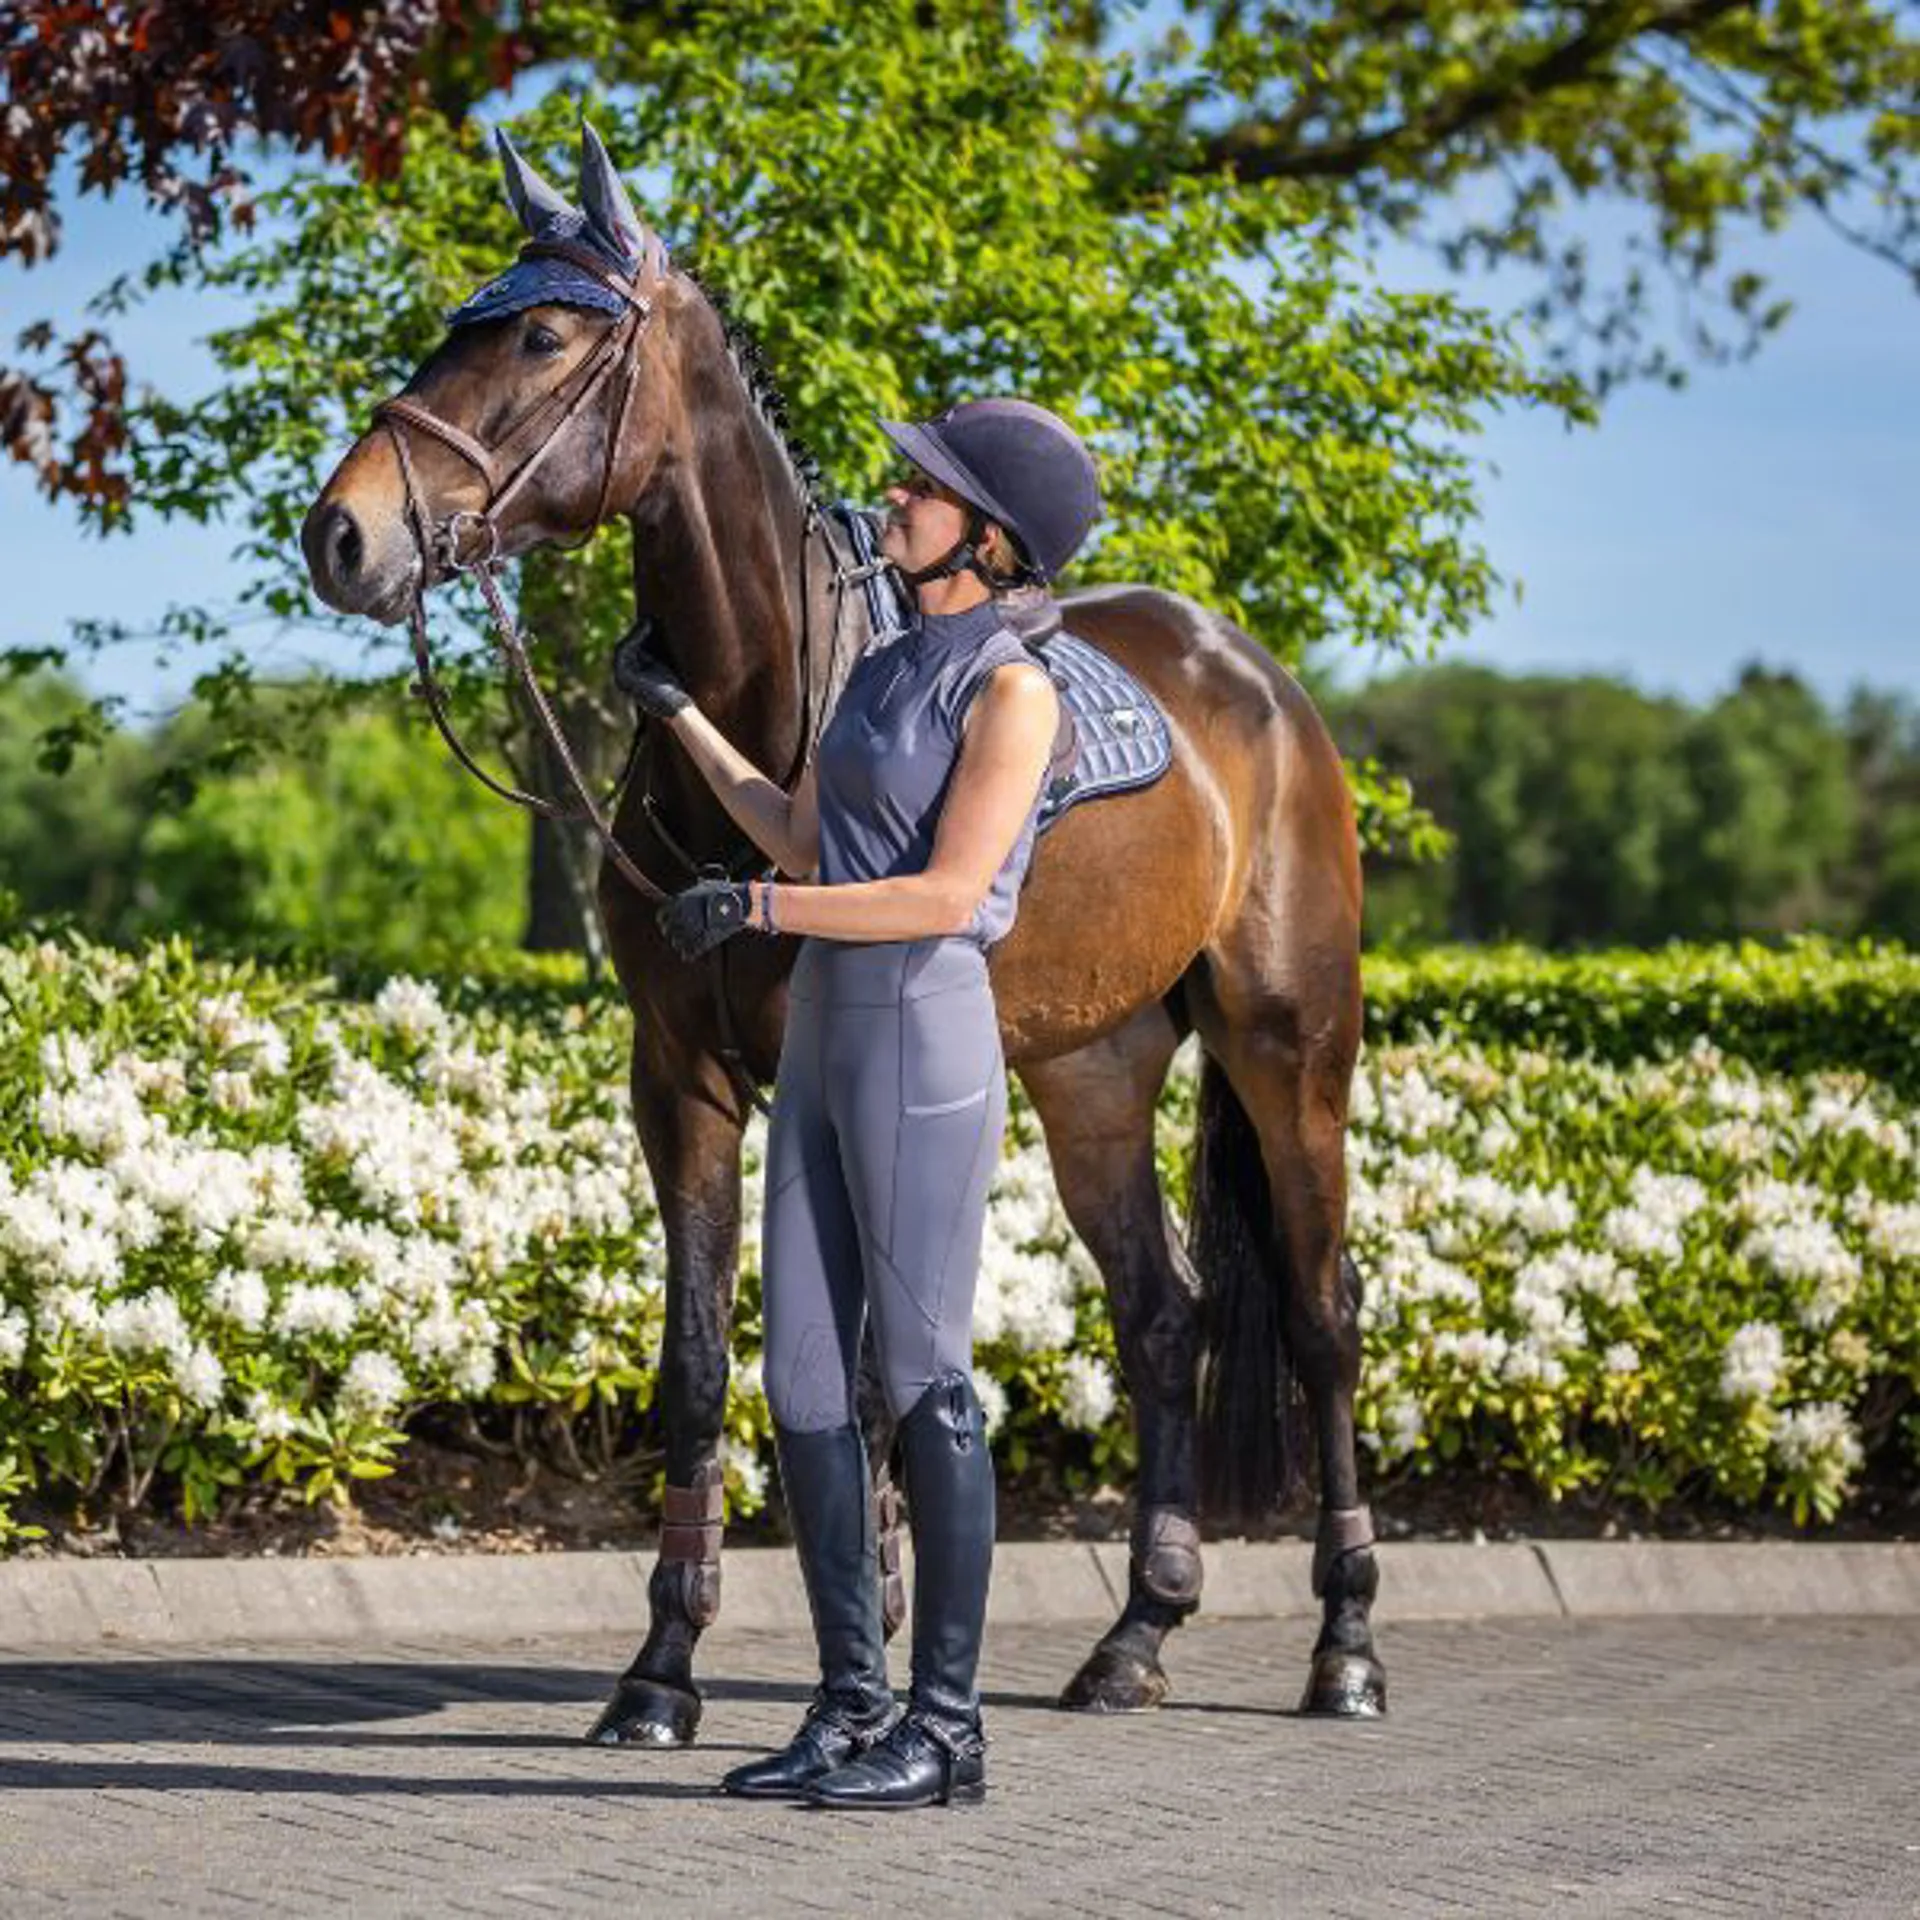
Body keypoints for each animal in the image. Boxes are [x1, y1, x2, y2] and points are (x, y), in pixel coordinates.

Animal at [300, 126, 1384, 1743]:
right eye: (456, 326)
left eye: (545, 336)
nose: (343, 534)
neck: (775, 724)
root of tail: (1253, 682)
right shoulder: (679, 1078)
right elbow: (701, 1364)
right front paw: (664, 1669)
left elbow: (869, 1373)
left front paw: (865, 1656)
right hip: (1092, 1075)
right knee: (1163, 1319)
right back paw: (1135, 1635)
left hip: (1288, 1050)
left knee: (1321, 1316)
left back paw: (1346, 1647)